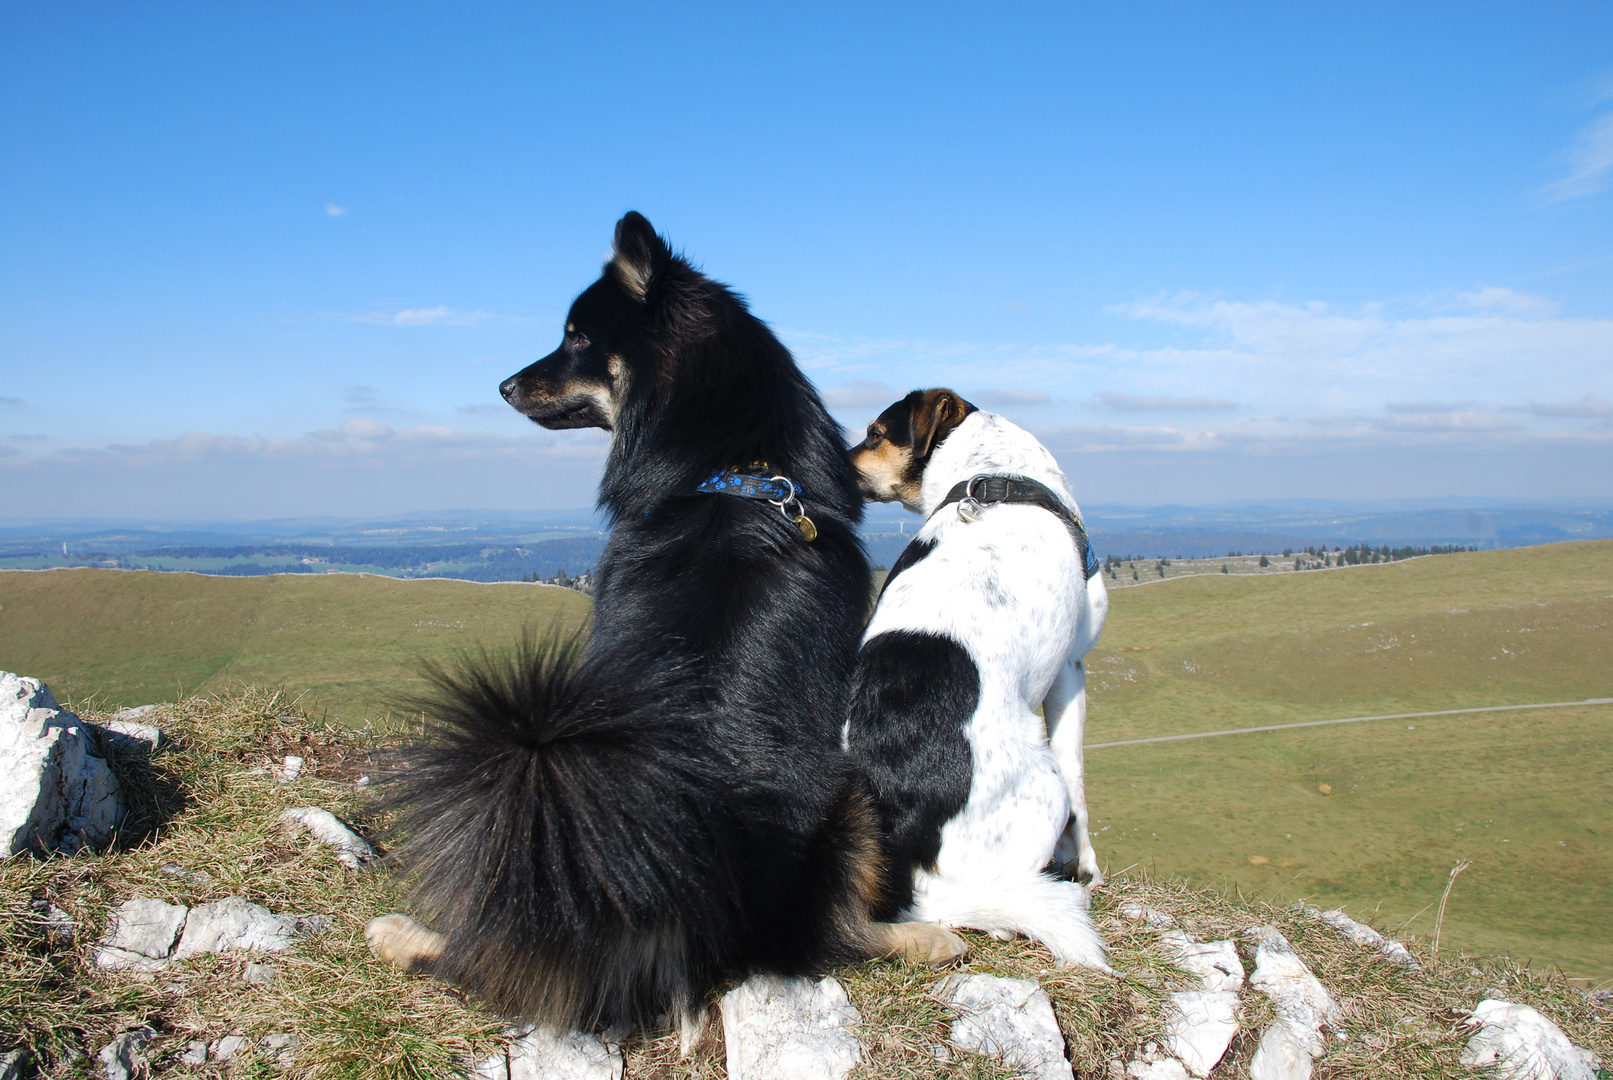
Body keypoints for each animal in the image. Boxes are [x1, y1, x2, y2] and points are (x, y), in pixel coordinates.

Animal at [845, 391, 1109, 973]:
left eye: (875, 434)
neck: (992, 474)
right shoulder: (1071, 669)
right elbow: (1080, 778)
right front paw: (1083, 863)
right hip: (1042, 785)